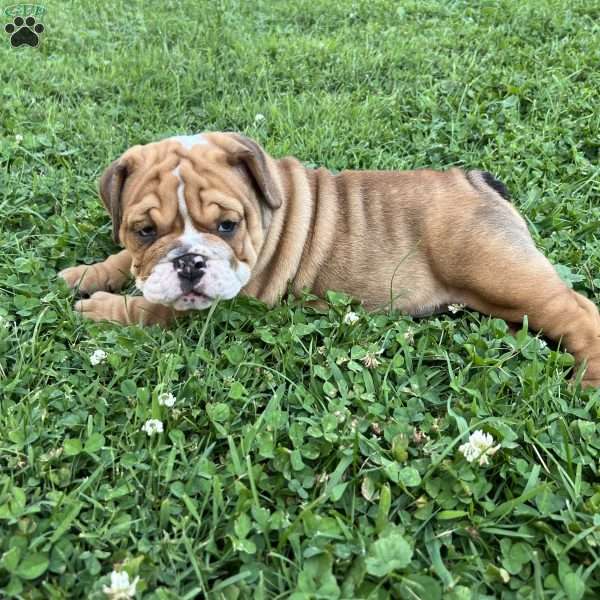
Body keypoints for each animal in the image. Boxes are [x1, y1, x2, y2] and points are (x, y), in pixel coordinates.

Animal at [58, 134, 600, 386]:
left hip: (497, 271)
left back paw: (587, 379)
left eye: (227, 226)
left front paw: (103, 309)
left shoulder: (227, 302)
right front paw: (87, 274)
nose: (189, 262)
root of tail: (476, 180)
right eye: (145, 231)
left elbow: (154, 310)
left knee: (577, 311)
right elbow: (123, 261)